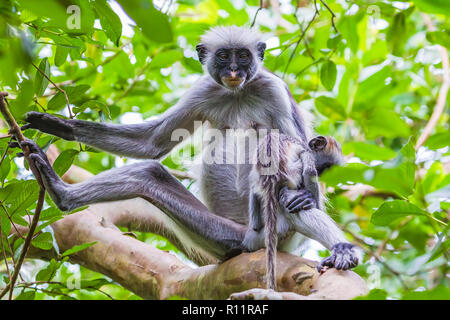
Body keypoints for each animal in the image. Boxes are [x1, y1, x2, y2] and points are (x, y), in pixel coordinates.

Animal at [244, 132, 346, 290]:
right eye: (325, 169)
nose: (321, 177)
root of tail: (272, 178)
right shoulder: (305, 152)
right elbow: (309, 170)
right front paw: (309, 197)